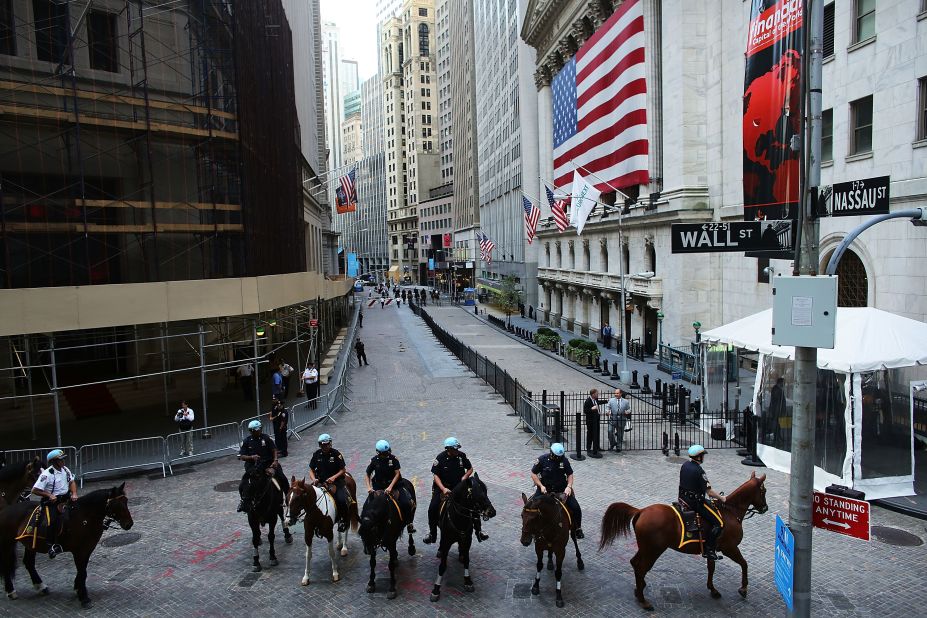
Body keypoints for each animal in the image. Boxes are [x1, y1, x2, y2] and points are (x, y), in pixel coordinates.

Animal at [0, 478, 134, 604]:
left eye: (126, 501)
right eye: (116, 504)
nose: (129, 524)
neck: (84, 517)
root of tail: (5, 510)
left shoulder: (87, 549)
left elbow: (83, 570)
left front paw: (78, 588)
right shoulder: (79, 551)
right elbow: (82, 571)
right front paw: (83, 597)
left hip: (30, 544)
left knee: (28, 563)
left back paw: (41, 586)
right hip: (7, 543)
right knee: (6, 565)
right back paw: (11, 591)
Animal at [600, 472, 772, 608]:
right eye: (763, 491)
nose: (765, 508)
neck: (729, 512)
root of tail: (641, 510)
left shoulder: (711, 549)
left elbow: (711, 568)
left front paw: (712, 589)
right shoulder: (730, 548)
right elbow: (744, 564)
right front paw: (743, 589)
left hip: (645, 549)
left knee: (635, 564)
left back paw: (639, 590)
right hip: (653, 551)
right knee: (641, 568)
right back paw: (643, 600)